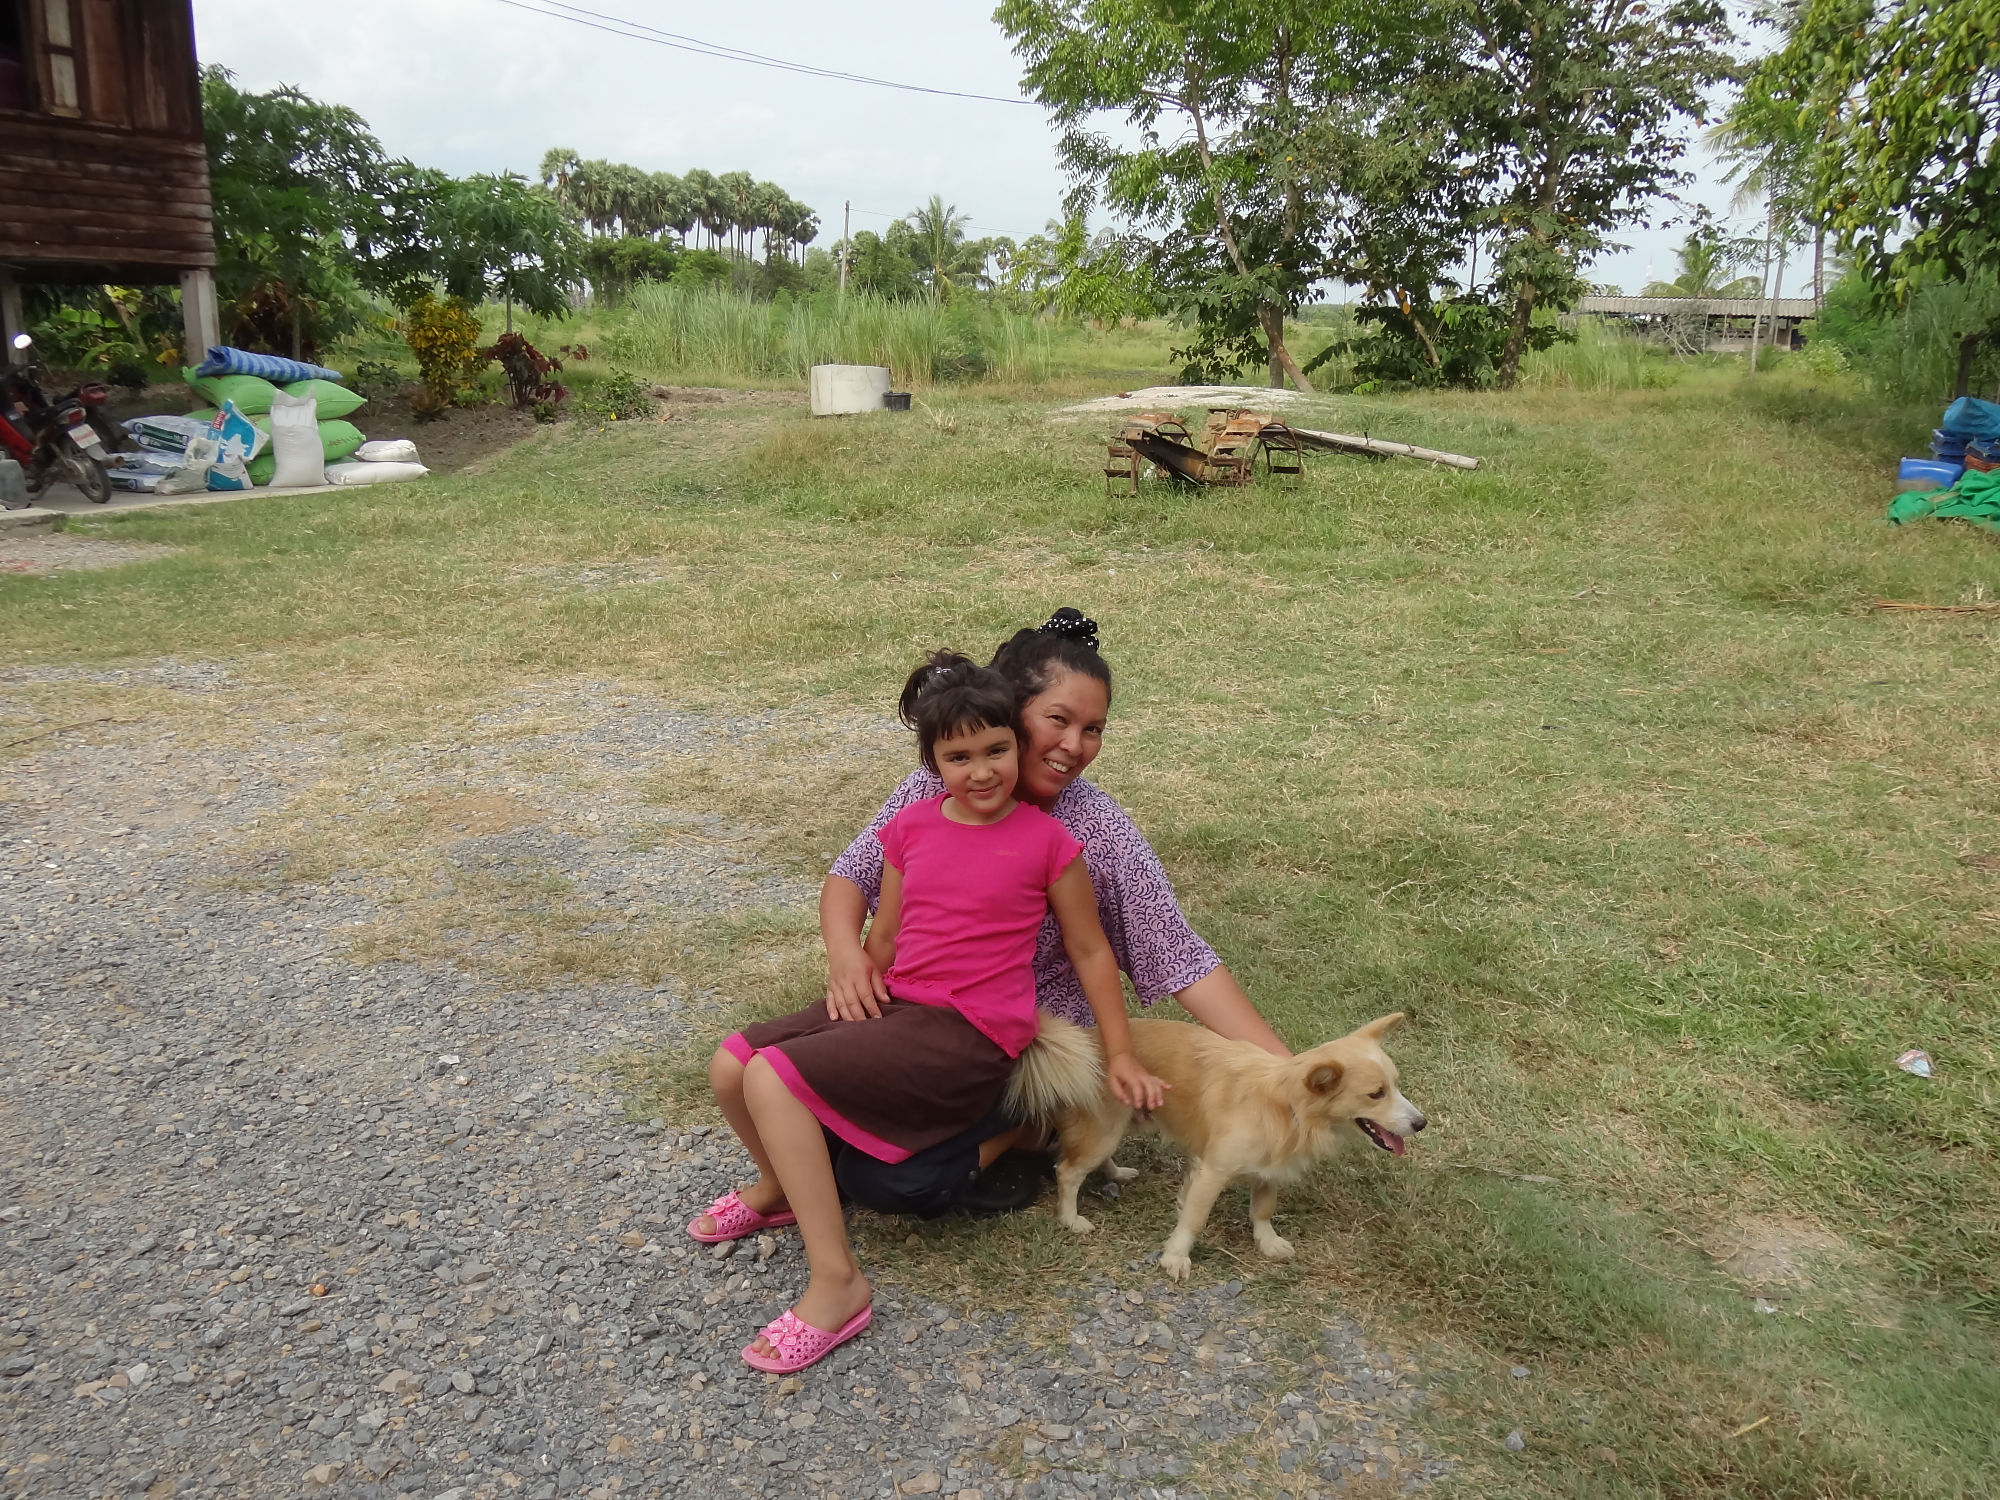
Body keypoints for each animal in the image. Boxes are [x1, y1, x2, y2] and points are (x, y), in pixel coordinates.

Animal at [1004, 1012, 1425, 1280]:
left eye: (1396, 1085)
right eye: (1376, 1094)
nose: (1421, 1123)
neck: (1286, 1105)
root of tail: (1088, 1040)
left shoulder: (1268, 1171)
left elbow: (1263, 1209)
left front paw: (1267, 1242)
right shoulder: (1211, 1172)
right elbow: (1194, 1218)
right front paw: (1175, 1256)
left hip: (1115, 1126)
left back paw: (1115, 1173)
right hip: (1103, 1130)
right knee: (1068, 1171)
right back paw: (1070, 1218)